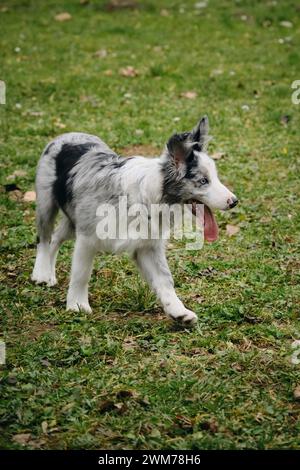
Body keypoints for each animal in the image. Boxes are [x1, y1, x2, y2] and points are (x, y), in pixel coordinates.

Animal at [30, 115, 237, 324]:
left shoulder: (147, 246)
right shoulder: (87, 238)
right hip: (46, 203)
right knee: (44, 237)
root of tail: (67, 135)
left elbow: (165, 279)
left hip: (72, 221)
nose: (234, 201)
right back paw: (41, 272)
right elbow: (82, 274)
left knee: (56, 237)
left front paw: (178, 311)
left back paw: (49, 273)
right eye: (203, 181)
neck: (147, 198)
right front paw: (77, 306)